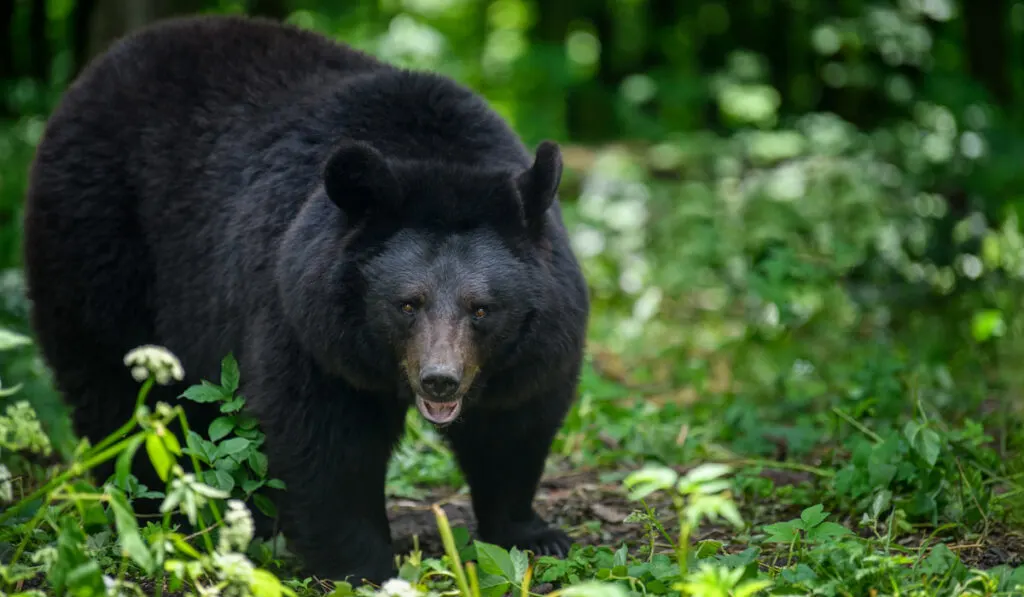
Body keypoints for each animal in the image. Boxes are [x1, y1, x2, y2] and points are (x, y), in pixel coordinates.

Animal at [19, 12, 589, 585]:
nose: (440, 380)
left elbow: (515, 424)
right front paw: (368, 567)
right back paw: (157, 506)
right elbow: (324, 442)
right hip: (95, 238)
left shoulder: (533, 341)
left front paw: (534, 535)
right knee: (112, 380)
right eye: (407, 304)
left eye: (482, 309)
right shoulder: (303, 317)